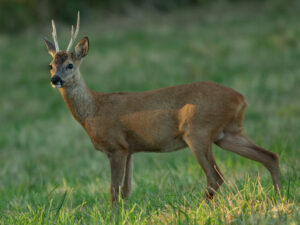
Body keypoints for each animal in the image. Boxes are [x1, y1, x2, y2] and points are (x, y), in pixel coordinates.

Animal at [44, 11, 282, 203]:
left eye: (70, 65)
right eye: (50, 65)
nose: (55, 79)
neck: (93, 110)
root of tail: (241, 98)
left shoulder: (116, 146)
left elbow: (114, 191)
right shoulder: (130, 148)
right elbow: (126, 191)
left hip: (198, 131)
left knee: (216, 177)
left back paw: (197, 208)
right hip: (228, 133)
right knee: (270, 156)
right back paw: (279, 198)